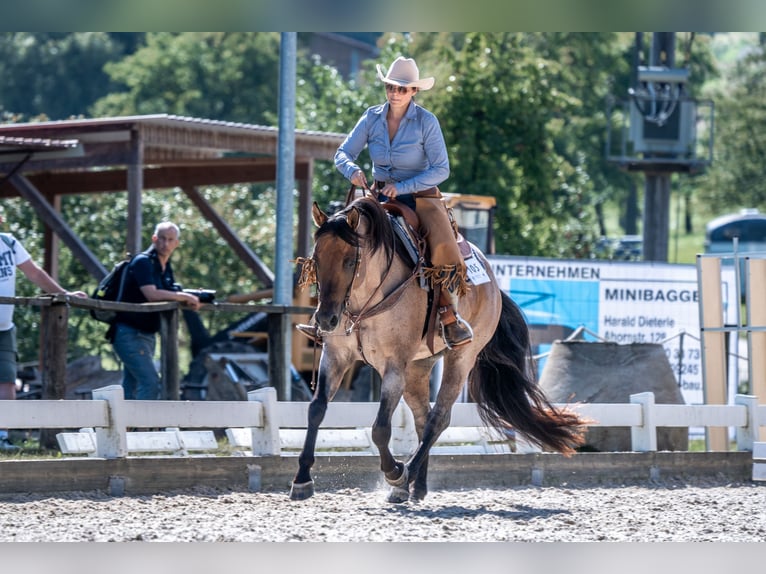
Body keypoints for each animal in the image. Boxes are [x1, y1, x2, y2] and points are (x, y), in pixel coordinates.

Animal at [290, 195, 586, 503]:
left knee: (438, 418)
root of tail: (493, 284)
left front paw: (395, 472)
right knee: (423, 418)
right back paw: (417, 486)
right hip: (418, 368)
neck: (365, 300)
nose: (326, 319)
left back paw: (405, 479)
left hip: (460, 360)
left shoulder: (393, 366)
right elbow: (316, 409)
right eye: (316, 260)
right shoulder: (336, 356)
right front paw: (302, 479)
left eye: (349, 261)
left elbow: (380, 428)